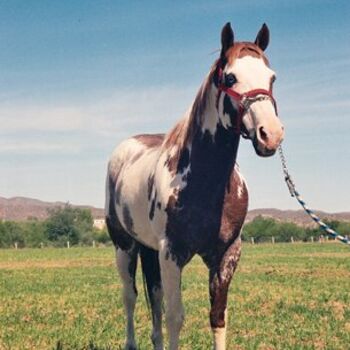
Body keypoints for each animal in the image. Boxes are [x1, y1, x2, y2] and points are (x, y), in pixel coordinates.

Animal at [104, 22, 284, 350]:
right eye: (230, 77)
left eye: (271, 77)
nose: (271, 135)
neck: (206, 184)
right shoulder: (172, 254)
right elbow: (176, 317)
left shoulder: (225, 255)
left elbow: (217, 316)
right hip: (125, 247)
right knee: (131, 298)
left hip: (150, 250)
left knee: (154, 299)